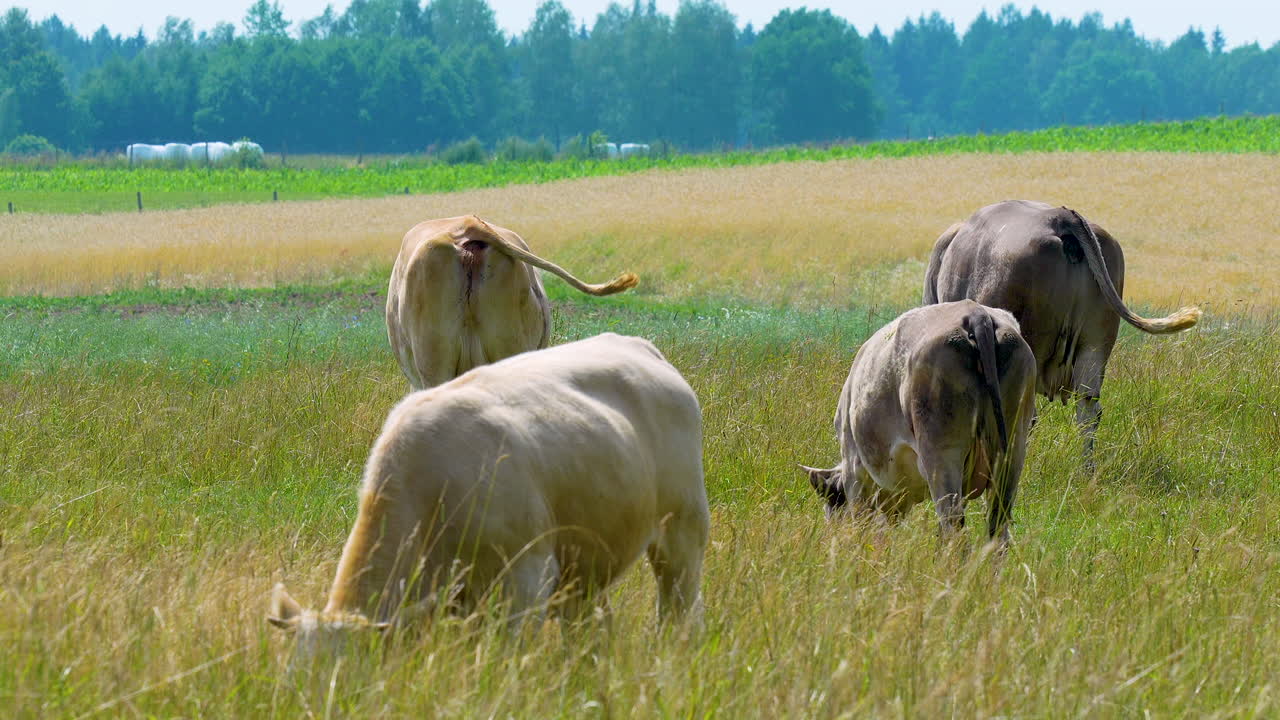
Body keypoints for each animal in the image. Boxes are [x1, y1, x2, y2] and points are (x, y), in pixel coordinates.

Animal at [801, 301, 1036, 544]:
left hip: (941, 454)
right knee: (997, 531)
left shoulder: (854, 467)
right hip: (1012, 449)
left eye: (833, 500)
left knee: (954, 527)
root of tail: (976, 314)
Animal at [922, 200, 1201, 463]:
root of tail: (1060, 217)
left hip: (1029, 347)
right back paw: (1086, 471)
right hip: (1096, 343)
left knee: (1028, 416)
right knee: (1089, 411)